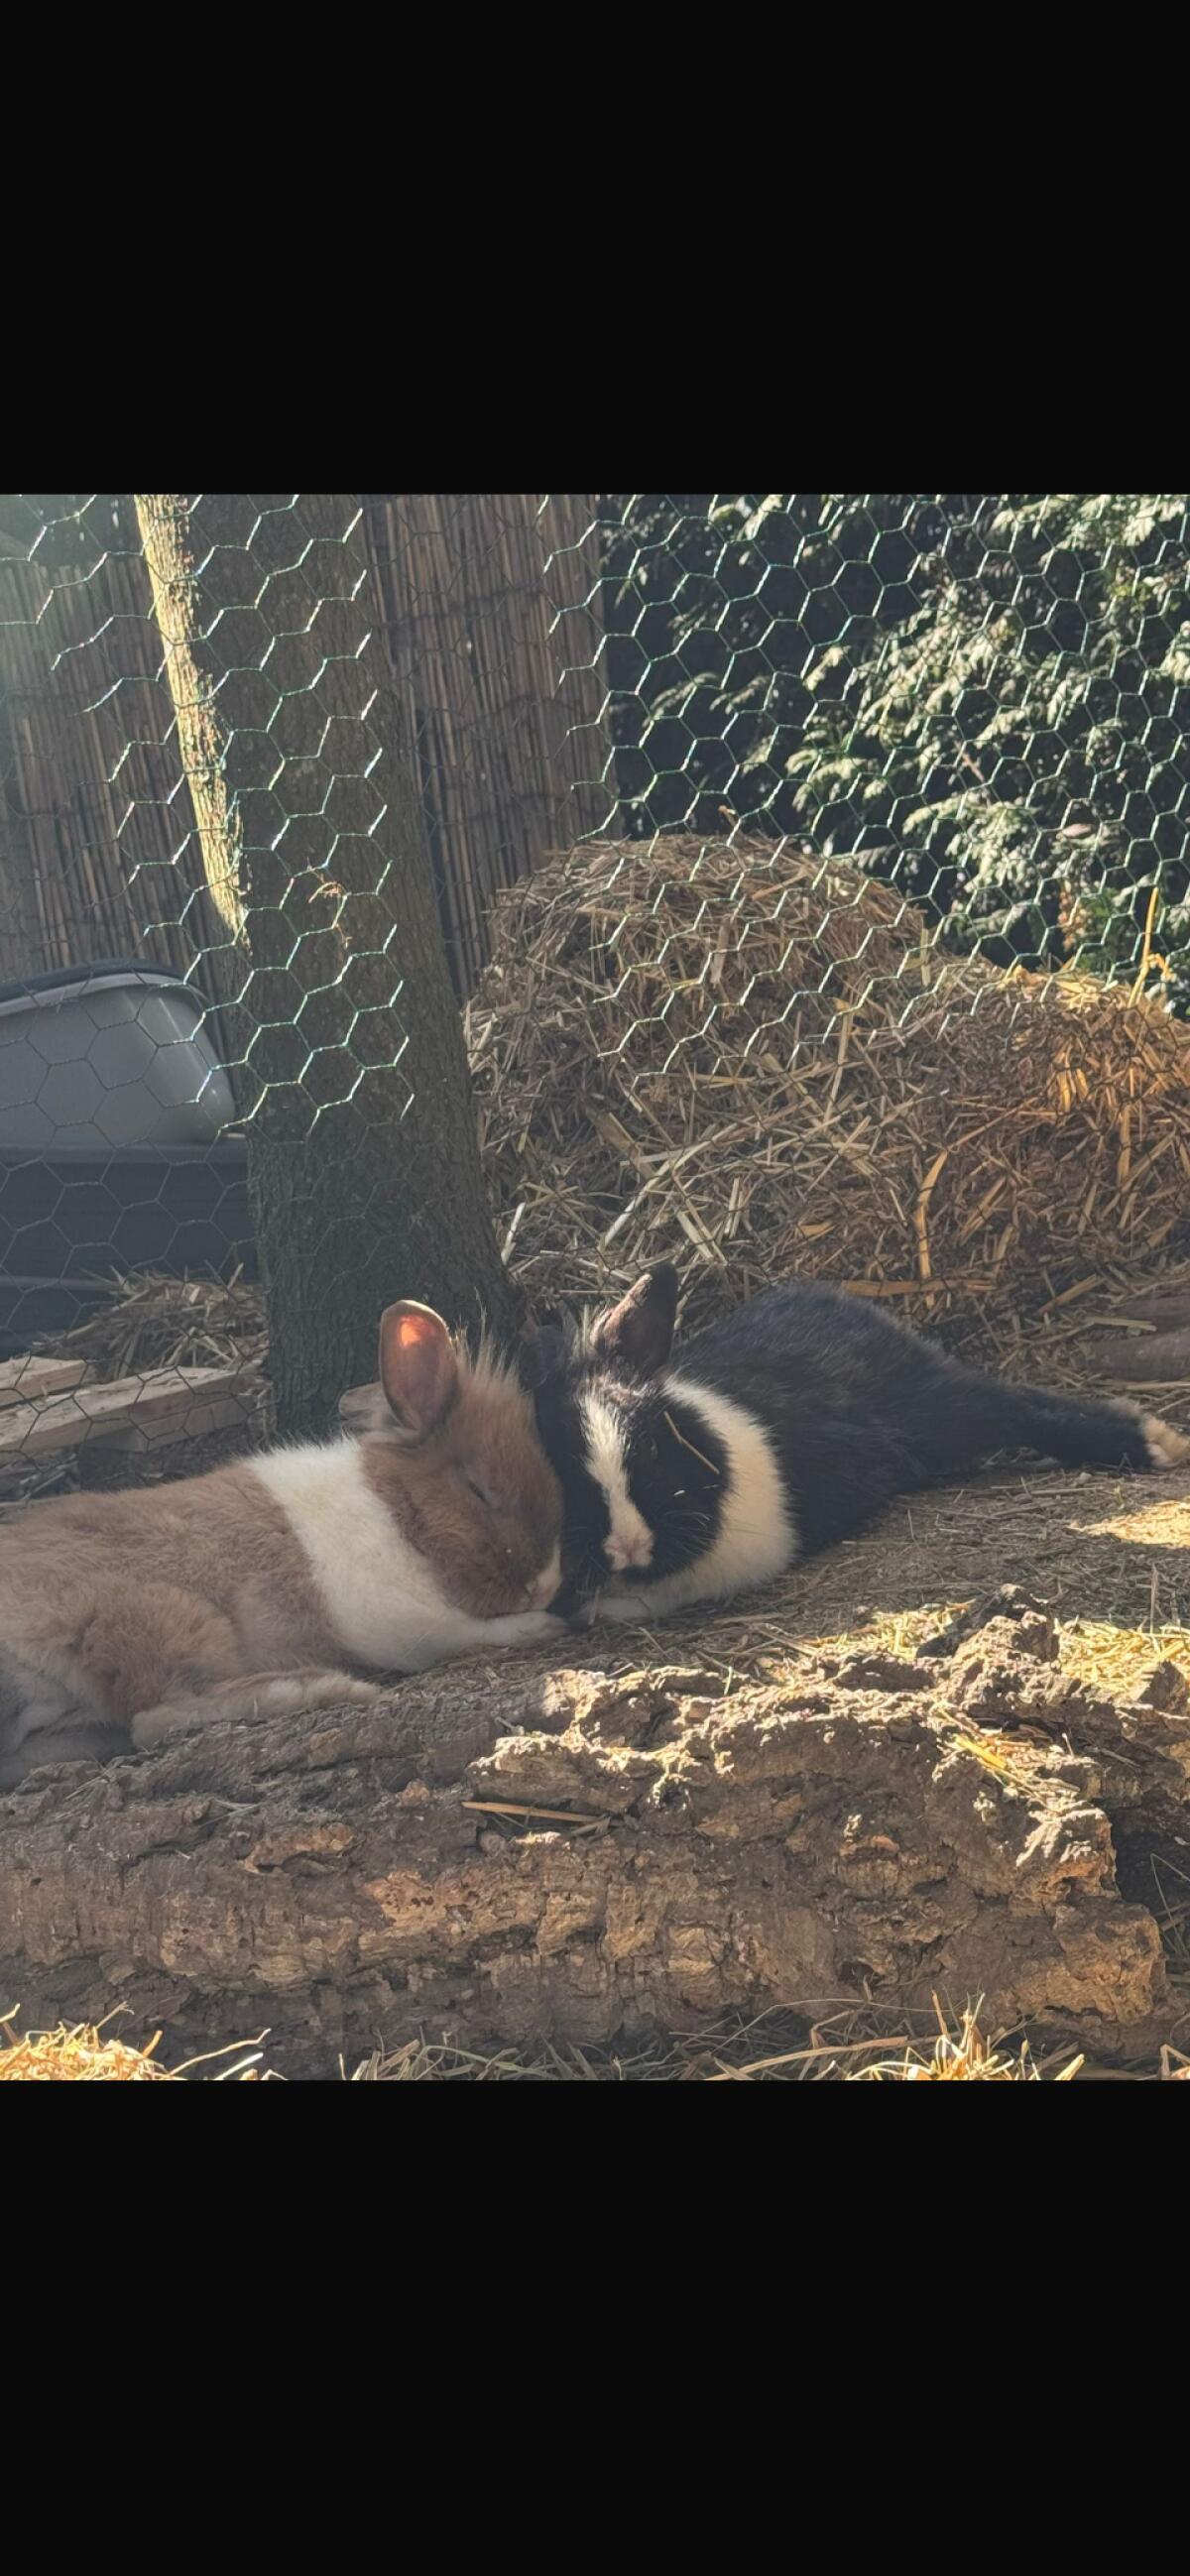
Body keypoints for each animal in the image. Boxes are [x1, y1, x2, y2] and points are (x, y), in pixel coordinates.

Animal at [0, 1300, 564, 1788]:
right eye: (478, 1488)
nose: (544, 1585)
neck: (394, 1508)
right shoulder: (406, 1625)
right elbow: (470, 1632)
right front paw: (541, 1625)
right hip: (163, 1619)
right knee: (158, 1715)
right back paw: (328, 1686)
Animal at [524, 1264, 1190, 1625]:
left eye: (652, 1450)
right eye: (565, 1478)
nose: (628, 1546)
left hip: (937, 1406)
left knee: (1014, 1409)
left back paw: (1160, 1443)